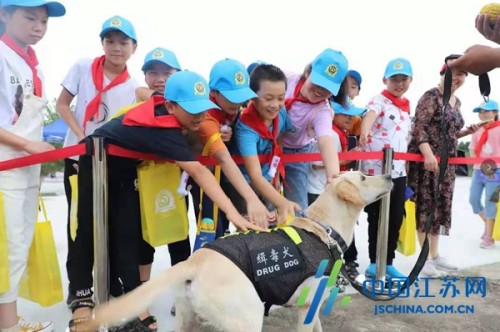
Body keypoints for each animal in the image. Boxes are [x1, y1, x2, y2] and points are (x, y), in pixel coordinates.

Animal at [84, 171, 392, 332]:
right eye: (364, 176)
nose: (390, 175)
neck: (324, 229)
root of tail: (195, 260)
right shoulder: (306, 309)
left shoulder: (313, 308)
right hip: (247, 316)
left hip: (187, 317)